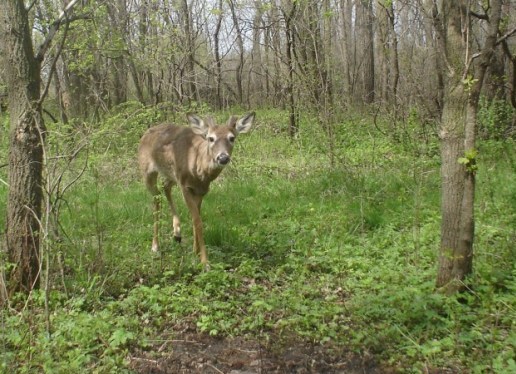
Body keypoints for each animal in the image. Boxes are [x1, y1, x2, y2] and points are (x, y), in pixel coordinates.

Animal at [139, 112, 256, 264]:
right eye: (211, 138)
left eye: (232, 138)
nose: (223, 158)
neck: (198, 168)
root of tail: (146, 133)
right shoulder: (185, 186)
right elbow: (198, 222)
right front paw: (205, 262)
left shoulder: (201, 190)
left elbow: (196, 220)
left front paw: (195, 253)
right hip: (147, 171)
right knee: (156, 197)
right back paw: (155, 246)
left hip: (171, 175)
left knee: (165, 187)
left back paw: (177, 233)